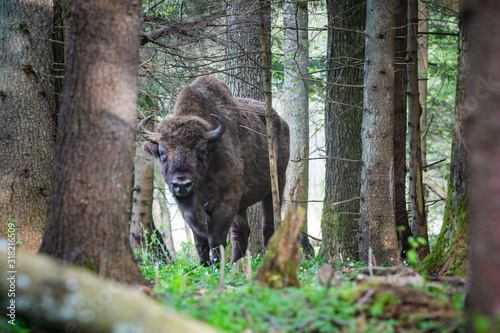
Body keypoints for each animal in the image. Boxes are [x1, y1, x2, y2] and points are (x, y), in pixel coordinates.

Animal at [139, 75, 292, 264]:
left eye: (202, 151)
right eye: (162, 153)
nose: (182, 185)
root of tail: (282, 123)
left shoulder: (226, 202)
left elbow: (216, 239)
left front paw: (216, 265)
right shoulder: (189, 211)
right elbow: (200, 241)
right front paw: (203, 266)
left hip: (276, 183)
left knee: (268, 226)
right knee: (241, 233)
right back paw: (235, 264)